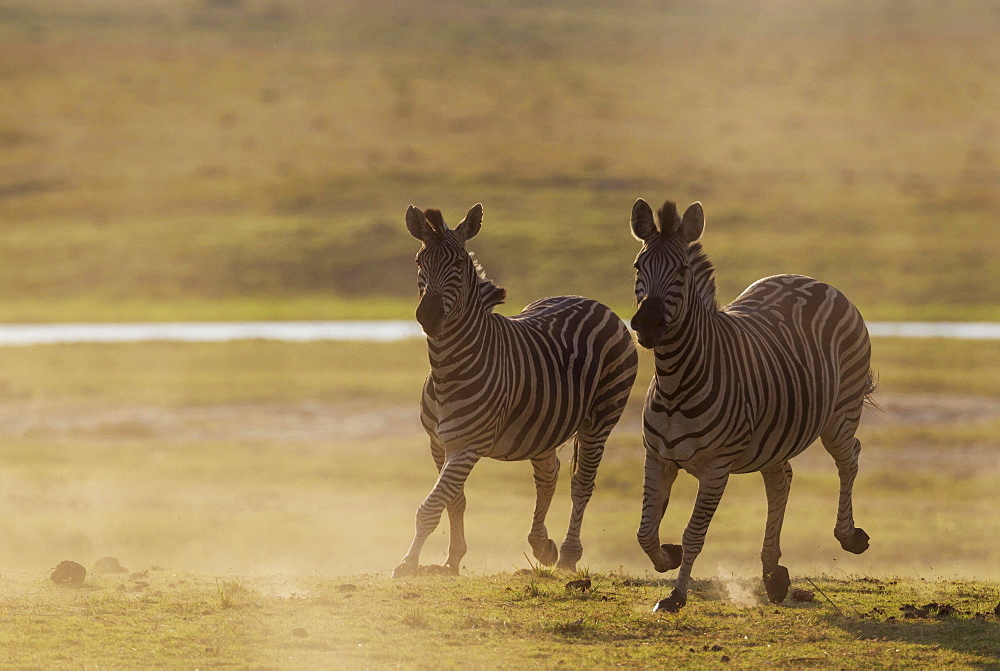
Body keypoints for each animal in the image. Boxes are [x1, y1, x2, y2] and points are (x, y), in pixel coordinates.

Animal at [390, 203, 632, 576]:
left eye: (458, 264)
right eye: (419, 261)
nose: (428, 316)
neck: (448, 368)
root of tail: (593, 301)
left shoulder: (469, 444)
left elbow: (430, 507)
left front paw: (408, 563)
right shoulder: (439, 443)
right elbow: (453, 500)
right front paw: (453, 558)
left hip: (602, 417)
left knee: (581, 484)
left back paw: (568, 555)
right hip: (545, 426)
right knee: (549, 475)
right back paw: (542, 546)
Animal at [632, 197, 876, 612]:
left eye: (681, 270)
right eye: (637, 266)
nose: (646, 324)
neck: (675, 380)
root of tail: (813, 280)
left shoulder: (716, 468)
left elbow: (694, 533)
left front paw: (677, 595)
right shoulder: (657, 456)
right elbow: (646, 531)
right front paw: (668, 555)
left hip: (840, 415)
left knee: (850, 458)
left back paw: (849, 536)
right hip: (775, 435)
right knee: (781, 480)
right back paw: (773, 573)